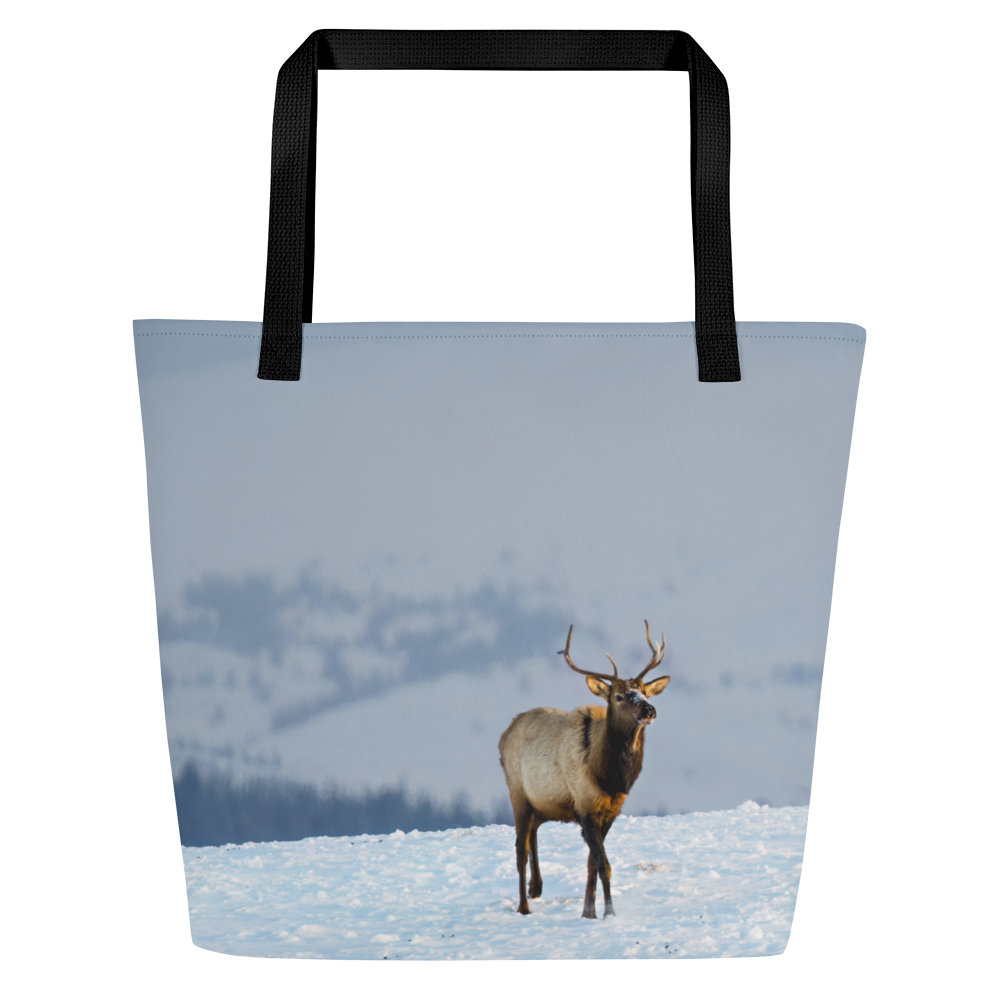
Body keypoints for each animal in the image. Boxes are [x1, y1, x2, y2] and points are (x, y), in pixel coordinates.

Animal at [498, 621, 671, 919]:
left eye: (645, 692)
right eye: (619, 696)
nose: (649, 709)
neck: (611, 777)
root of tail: (504, 735)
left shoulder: (610, 811)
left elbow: (592, 863)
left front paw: (588, 912)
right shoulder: (585, 806)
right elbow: (604, 865)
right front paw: (609, 913)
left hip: (542, 803)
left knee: (533, 833)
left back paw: (536, 887)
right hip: (517, 792)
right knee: (520, 848)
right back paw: (524, 906)